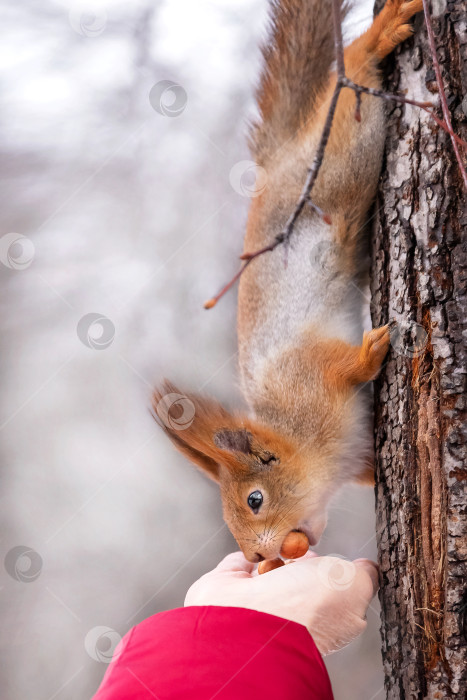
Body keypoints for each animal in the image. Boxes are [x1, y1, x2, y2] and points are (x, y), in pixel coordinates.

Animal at [154, 0, 424, 560]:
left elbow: (345, 365)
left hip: (342, 161)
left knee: (349, 79)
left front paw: (374, 349)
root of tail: (276, 164)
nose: (260, 558)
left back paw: (382, 32)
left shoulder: (310, 369)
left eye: (255, 499)